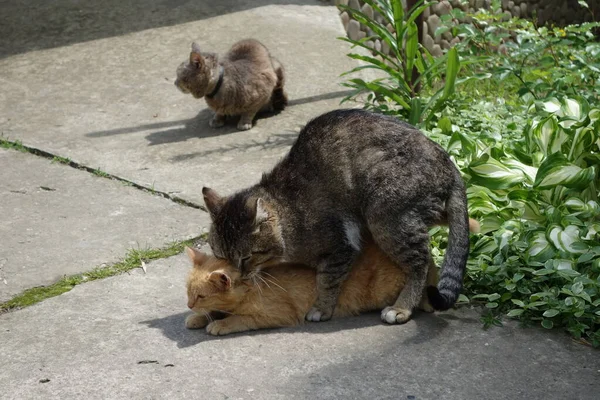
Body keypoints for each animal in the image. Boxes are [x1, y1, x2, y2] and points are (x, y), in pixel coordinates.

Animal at [204, 108, 472, 324]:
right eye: (221, 256)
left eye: (246, 258)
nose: (237, 275)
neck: (288, 215)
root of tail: (452, 169)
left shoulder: (340, 247)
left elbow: (327, 280)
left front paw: (321, 308)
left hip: (385, 215)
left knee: (420, 262)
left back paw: (402, 307)